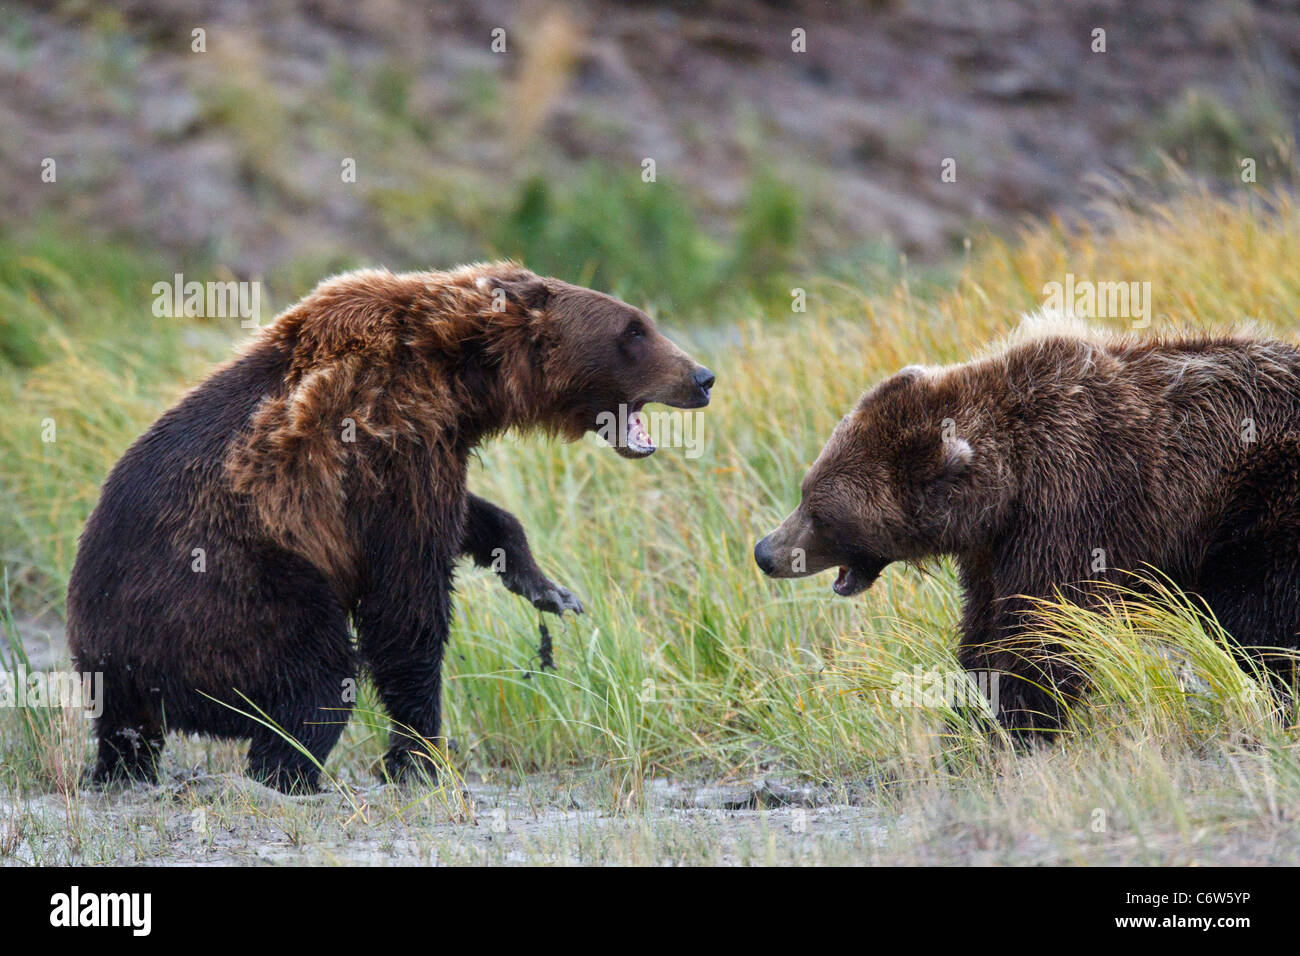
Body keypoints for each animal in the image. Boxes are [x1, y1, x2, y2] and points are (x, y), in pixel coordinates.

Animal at [68, 261, 722, 790]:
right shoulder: (387, 439)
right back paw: (291, 774)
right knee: (316, 672)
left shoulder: (436, 446)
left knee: (130, 734)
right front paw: (422, 755)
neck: (462, 375)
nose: (703, 376)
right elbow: (406, 603)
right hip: (227, 588)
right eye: (634, 330)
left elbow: (466, 519)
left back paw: (127, 769)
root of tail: (99, 648)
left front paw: (545, 585)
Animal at [759, 319, 1300, 733]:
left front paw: (1018, 725)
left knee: (1261, 618)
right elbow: (984, 630)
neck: (1006, 487)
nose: (766, 552)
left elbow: (1046, 627)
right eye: (805, 491)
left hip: (1263, 503)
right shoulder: (991, 548)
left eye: (822, 513)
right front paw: (969, 717)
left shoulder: (1073, 504)